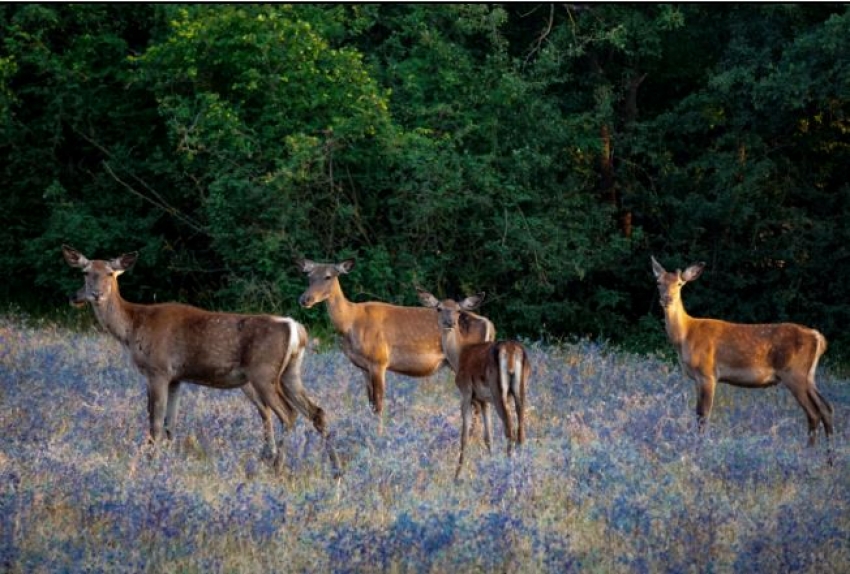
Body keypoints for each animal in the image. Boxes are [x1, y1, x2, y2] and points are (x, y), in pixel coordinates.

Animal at [63, 245, 342, 480]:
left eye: (110, 273)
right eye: (86, 272)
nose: (95, 294)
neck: (133, 328)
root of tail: (296, 328)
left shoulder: (158, 370)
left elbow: (155, 422)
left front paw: (151, 462)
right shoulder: (176, 378)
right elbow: (170, 423)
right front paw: (169, 460)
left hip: (263, 373)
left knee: (288, 413)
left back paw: (277, 466)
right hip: (290, 373)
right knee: (317, 411)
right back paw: (336, 470)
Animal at [294, 260, 494, 432]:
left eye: (328, 276)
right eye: (309, 276)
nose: (305, 299)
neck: (351, 322)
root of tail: (490, 325)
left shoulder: (379, 360)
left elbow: (379, 403)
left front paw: (379, 433)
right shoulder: (363, 367)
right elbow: (370, 403)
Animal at [416, 288, 528, 482]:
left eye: (458, 310)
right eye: (439, 308)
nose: (449, 322)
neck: (459, 356)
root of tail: (512, 351)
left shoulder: (466, 392)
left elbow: (464, 436)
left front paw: (456, 476)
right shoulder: (483, 400)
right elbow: (488, 436)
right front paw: (490, 464)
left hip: (498, 389)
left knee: (509, 429)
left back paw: (509, 470)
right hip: (520, 389)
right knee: (521, 430)